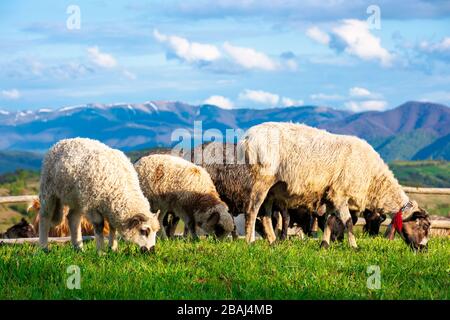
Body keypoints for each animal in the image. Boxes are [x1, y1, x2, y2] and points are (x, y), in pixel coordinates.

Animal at [237, 122, 430, 250]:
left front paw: (324, 245)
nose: (424, 249)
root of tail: (247, 137)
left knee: (266, 215)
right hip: (262, 179)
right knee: (252, 210)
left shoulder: (331, 195)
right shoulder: (340, 194)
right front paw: (354, 247)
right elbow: (348, 222)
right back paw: (250, 242)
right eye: (424, 226)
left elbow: (329, 220)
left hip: (272, 189)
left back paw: (273, 242)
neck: (374, 180)